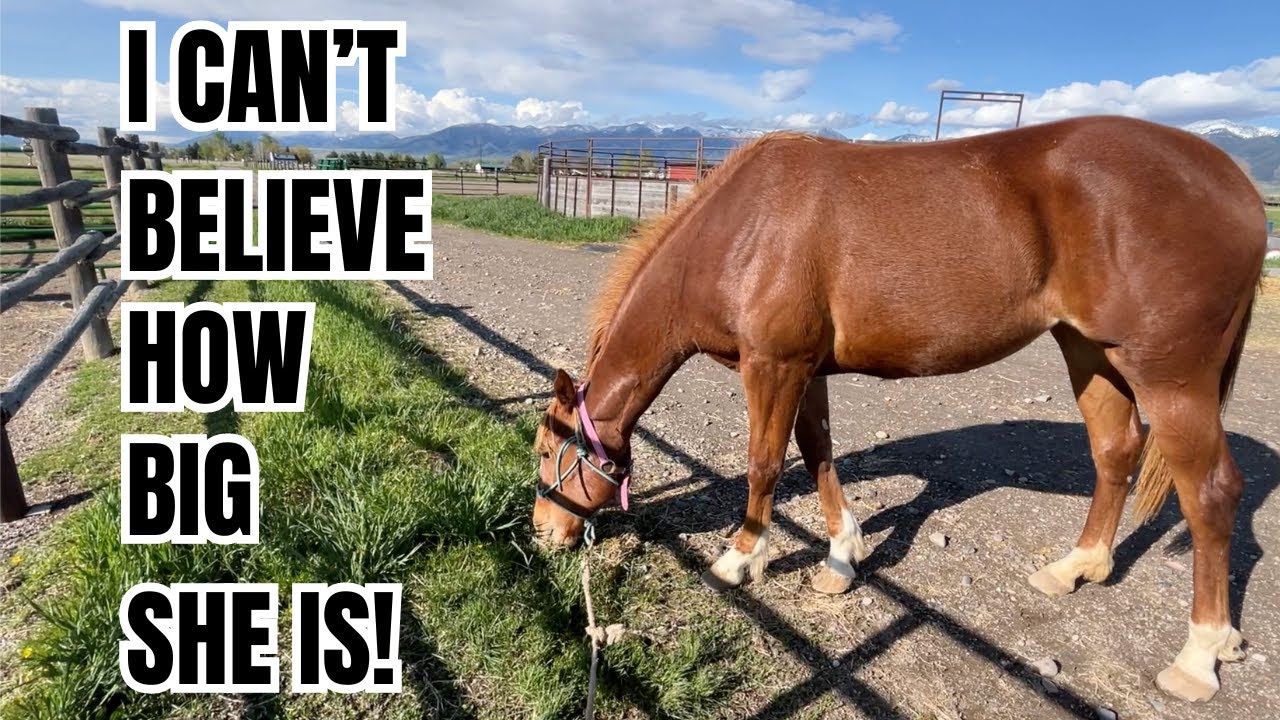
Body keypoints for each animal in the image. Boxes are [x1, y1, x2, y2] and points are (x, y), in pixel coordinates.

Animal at [530, 115, 1267, 703]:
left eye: (544, 451)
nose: (544, 532)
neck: (741, 232)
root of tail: (1236, 183)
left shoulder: (773, 366)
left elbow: (766, 462)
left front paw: (742, 558)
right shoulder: (806, 371)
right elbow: (819, 454)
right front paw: (841, 559)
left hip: (1171, 378)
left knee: (1210, 493)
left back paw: (1199, 656)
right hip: (1090, 352)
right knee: (1115, 452)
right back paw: (1075, 568)